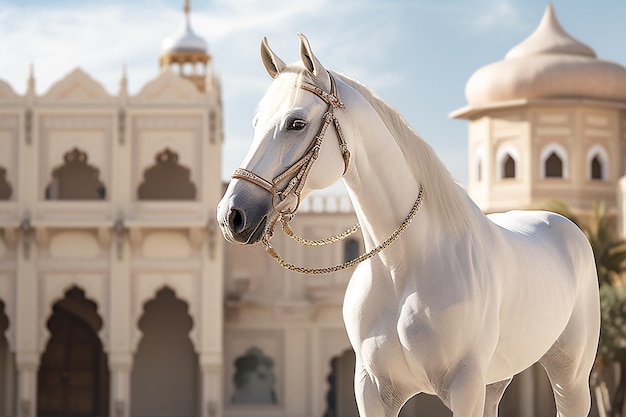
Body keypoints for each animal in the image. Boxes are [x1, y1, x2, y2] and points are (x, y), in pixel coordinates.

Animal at [216, 34, 600, 414]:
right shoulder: (372, 388)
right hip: (497, 379)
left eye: (296, 122)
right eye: (255, 124)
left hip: (570, 376)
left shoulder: (465, 386)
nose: (232, 215)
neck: (403, 267)